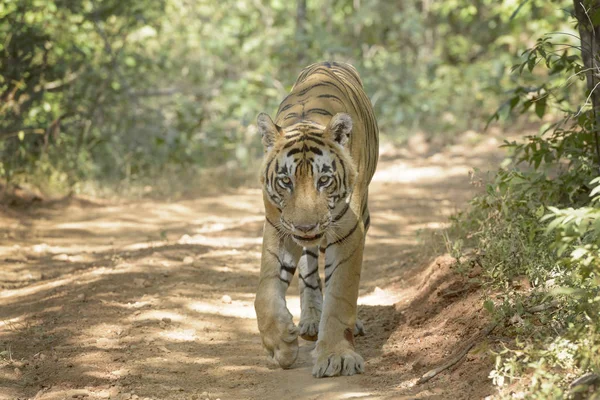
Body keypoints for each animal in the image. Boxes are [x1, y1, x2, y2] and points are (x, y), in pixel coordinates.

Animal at [254, 62, 380, 378]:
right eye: (286, 181)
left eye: (323, 180)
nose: (305, 226)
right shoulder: (277, 228)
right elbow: (264, 292)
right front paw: (281, 345)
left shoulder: (349, 231)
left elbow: (341, 296)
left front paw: (337, 357)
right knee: (308, 269)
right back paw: (310, 321)